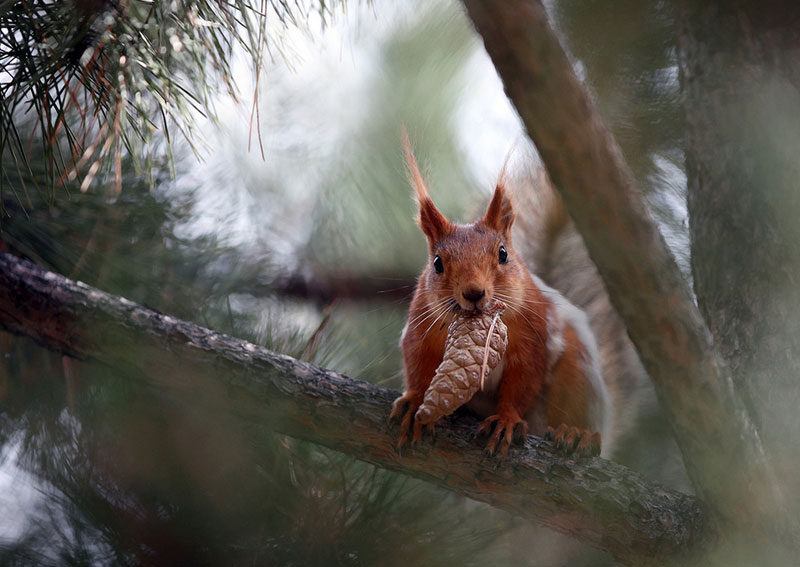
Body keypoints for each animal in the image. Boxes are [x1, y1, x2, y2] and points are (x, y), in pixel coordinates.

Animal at [390, 140, 608, 460]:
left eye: (503, 254)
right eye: (438, 263)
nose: (474, 293)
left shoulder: (532, 335)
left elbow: (522, 381)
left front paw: (505, 419)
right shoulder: (421, 324)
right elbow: (418, 363)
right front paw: (416, 401)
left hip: (577, 372)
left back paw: (575, 433)